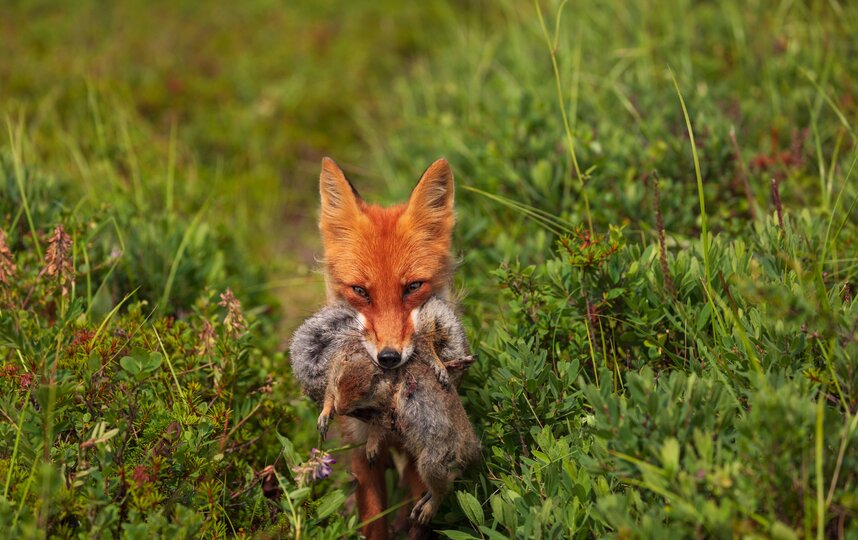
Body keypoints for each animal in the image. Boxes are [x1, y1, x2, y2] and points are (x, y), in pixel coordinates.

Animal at [318, 156, 458, 536]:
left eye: (413, 287)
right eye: (360, 291)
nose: (389, 358)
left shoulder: (423, 445)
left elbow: (417, 514)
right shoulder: (360, 447)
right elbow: (374, 521)